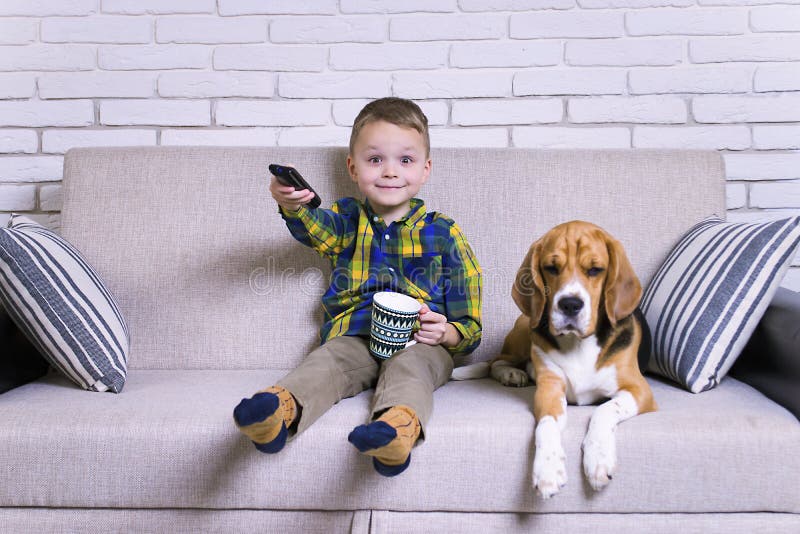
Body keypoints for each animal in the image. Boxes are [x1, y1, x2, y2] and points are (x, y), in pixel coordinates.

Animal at [454, 220, 652, 500]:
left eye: (595, 270)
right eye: (551, 268)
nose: (570, 304)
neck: (578, 343)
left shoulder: (639, 390)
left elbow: (604, 410)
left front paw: (599, 459)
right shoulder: (549, 388)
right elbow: (545, 425)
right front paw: (547, 469)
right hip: (526, 326)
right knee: (496, 362)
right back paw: (513, 374)